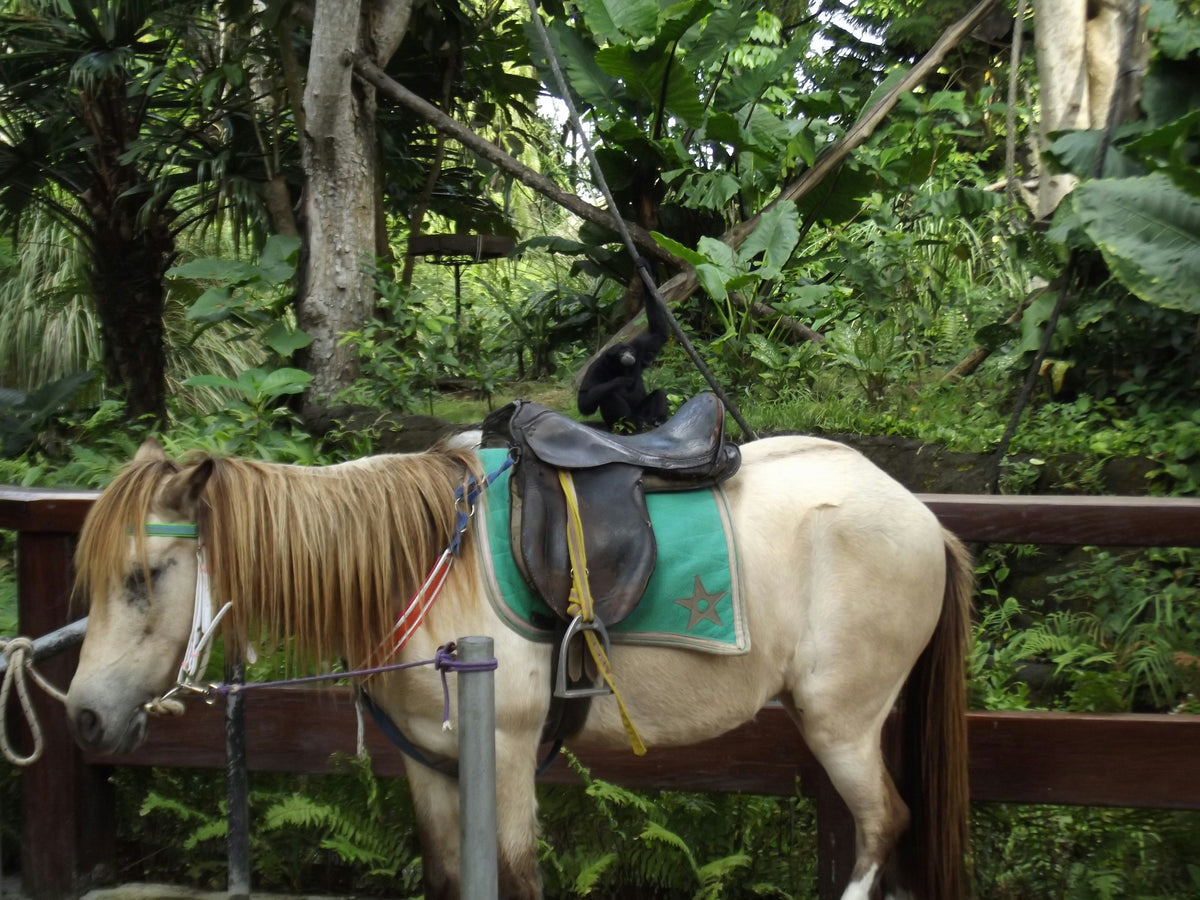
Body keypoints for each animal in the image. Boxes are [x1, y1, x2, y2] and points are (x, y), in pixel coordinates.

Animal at [65, 431, 973, 900]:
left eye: (143, 576)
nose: (83, 717)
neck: (420, 561)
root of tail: (923, 518)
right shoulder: (430, 760)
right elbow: (446, 876)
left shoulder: (503, 753)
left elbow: (514, 875)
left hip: (841, 722)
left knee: (881, 826)